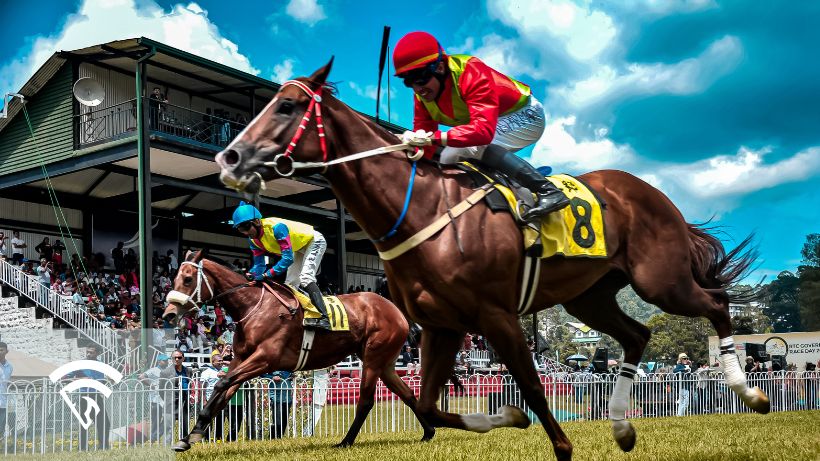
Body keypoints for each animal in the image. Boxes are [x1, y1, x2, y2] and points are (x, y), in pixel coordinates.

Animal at [161, 250, 435, 450]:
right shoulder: (240, 359)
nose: (169, 314)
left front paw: (193, 434)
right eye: (174, 279)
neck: (252, 306)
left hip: (373, 358)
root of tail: (396, 310)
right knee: (407, 393)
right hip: (384, 362)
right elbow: (223, 392)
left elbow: (222, 384)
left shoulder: (266, 359)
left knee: (366, 401)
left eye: (188, 279)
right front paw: (190, 436)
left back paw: (346, 442)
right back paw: (429, 431)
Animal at [214, 59, 768, 460]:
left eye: (286, 106)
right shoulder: (443, 326)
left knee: (716, 303)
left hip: (662, 280)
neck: (420, 209)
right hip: (590, 296)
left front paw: (557, 442)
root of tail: (647, 190)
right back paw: (621, 425)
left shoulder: (497, 316)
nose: (230, 157)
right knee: (637, 334)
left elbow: (533, 389)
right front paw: (507, 419)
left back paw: (748, 390)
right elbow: (432, 405)